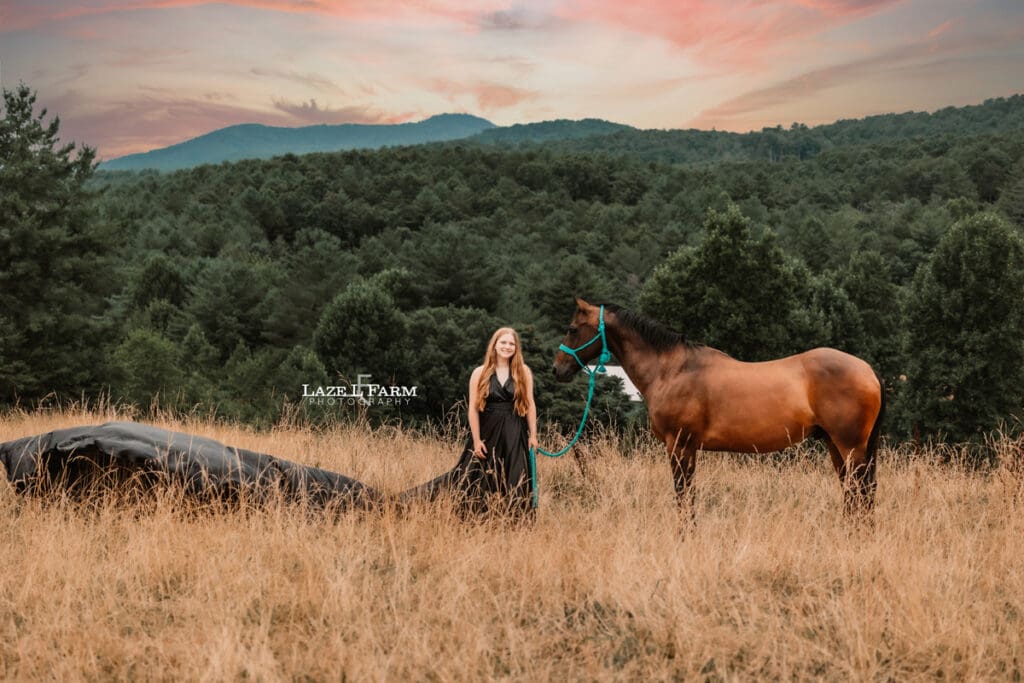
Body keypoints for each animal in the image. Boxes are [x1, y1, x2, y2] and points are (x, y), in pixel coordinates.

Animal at [552, 298, 885, 516]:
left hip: (850, 447)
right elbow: (688, 495)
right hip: (835, 447)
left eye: (572, 328)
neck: (671, 369)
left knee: (861, 493)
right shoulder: (687, 448)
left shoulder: (679, 445)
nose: (557, 369)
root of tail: (868, 370)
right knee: (854, 494)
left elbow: (683, 495)